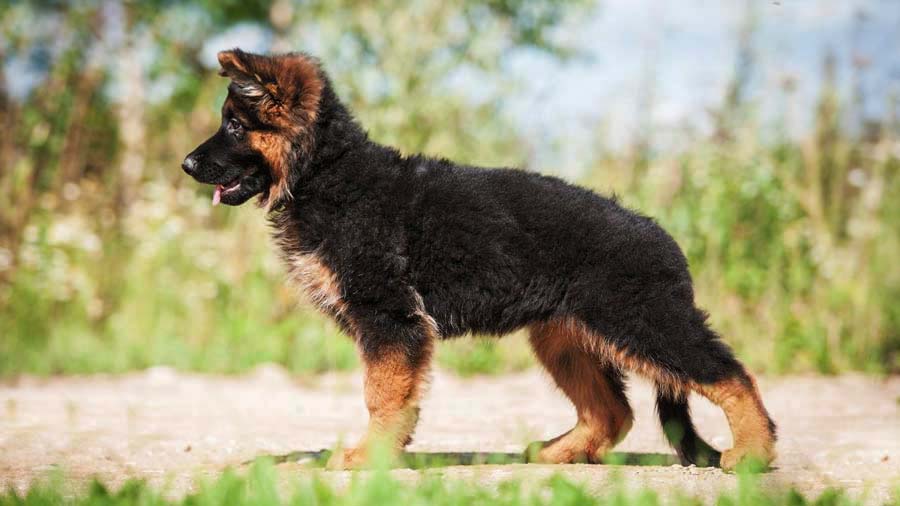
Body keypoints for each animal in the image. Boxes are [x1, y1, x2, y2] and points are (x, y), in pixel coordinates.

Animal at [183, 48, 772, 470]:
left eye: (234, 125)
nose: (186, 164)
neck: (325, 173)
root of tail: (663, 239)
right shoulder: (394, 324)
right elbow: (392, 393)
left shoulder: (390, 317)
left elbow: (382, 394)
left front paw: (366, 458)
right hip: (563, 337)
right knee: (613, 411)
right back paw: (553, 455)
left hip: (642, 321)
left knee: (730, 374)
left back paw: (754, 454)